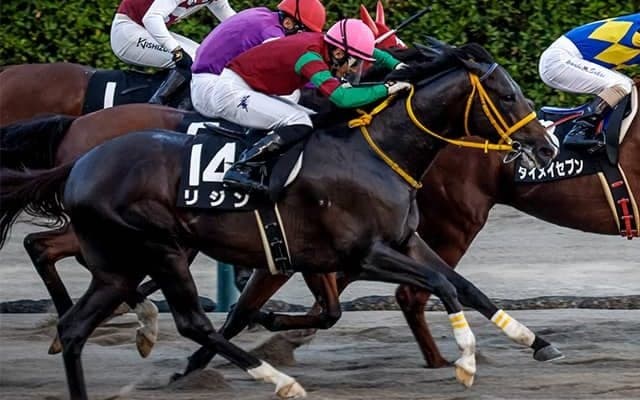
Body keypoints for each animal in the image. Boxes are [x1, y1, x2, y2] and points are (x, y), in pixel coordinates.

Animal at [0, 43, 558, 398]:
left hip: (121, 262)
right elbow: (440, 285)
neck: (374, 151)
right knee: (189, 320)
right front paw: (465, 361)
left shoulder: (400, 241)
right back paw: (276, 380)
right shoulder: (362, 253)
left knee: (78, 321)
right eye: (507, 95)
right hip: (161, 248)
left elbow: (465, 286)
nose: (546, 145)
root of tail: (80, 159)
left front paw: (534, 341)